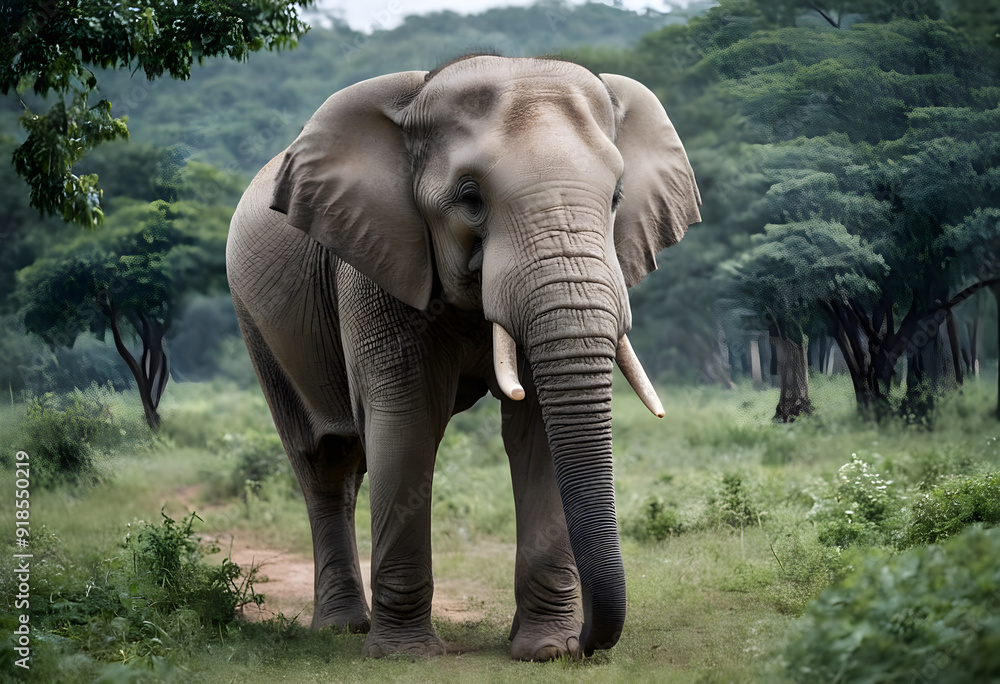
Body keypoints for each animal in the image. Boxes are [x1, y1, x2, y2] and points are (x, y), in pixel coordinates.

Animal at [226, 54, 700, 661]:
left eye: (617, 197)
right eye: (470, 198)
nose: (588, 645)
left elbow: (536, 429)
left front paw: (545, 651)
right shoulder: (376, 259)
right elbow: (406, 420)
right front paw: (403, 656)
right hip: (255, 321)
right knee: (324, 461)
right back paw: (342, 629)